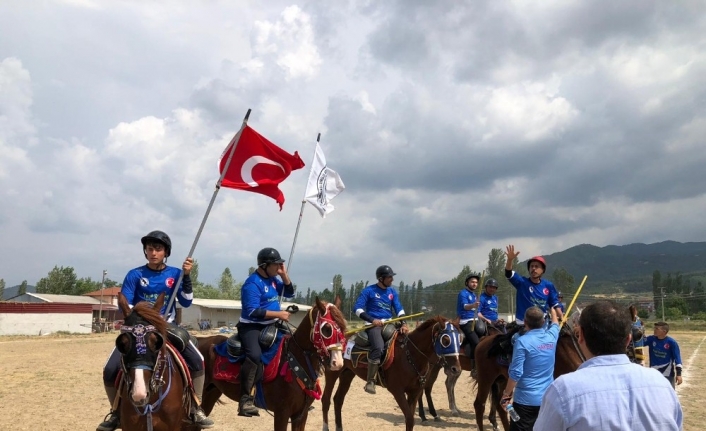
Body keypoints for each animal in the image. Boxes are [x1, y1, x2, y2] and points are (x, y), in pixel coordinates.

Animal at [192, 298, 346, 431]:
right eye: (327, 329)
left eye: (343, 327)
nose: (337, 362)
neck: (294, 362)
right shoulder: (282, 413)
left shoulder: (300, 415)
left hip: (211, 393)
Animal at [320, 316, 462, 431]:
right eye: (446, 339)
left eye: (460, 339)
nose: (456, 369)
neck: (410, 355)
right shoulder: (397, 391)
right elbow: (409, 419)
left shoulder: (414, 393)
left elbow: (410, 420)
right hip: (332, 373)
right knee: (326, 399)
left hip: (347, 374)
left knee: (338, 400)